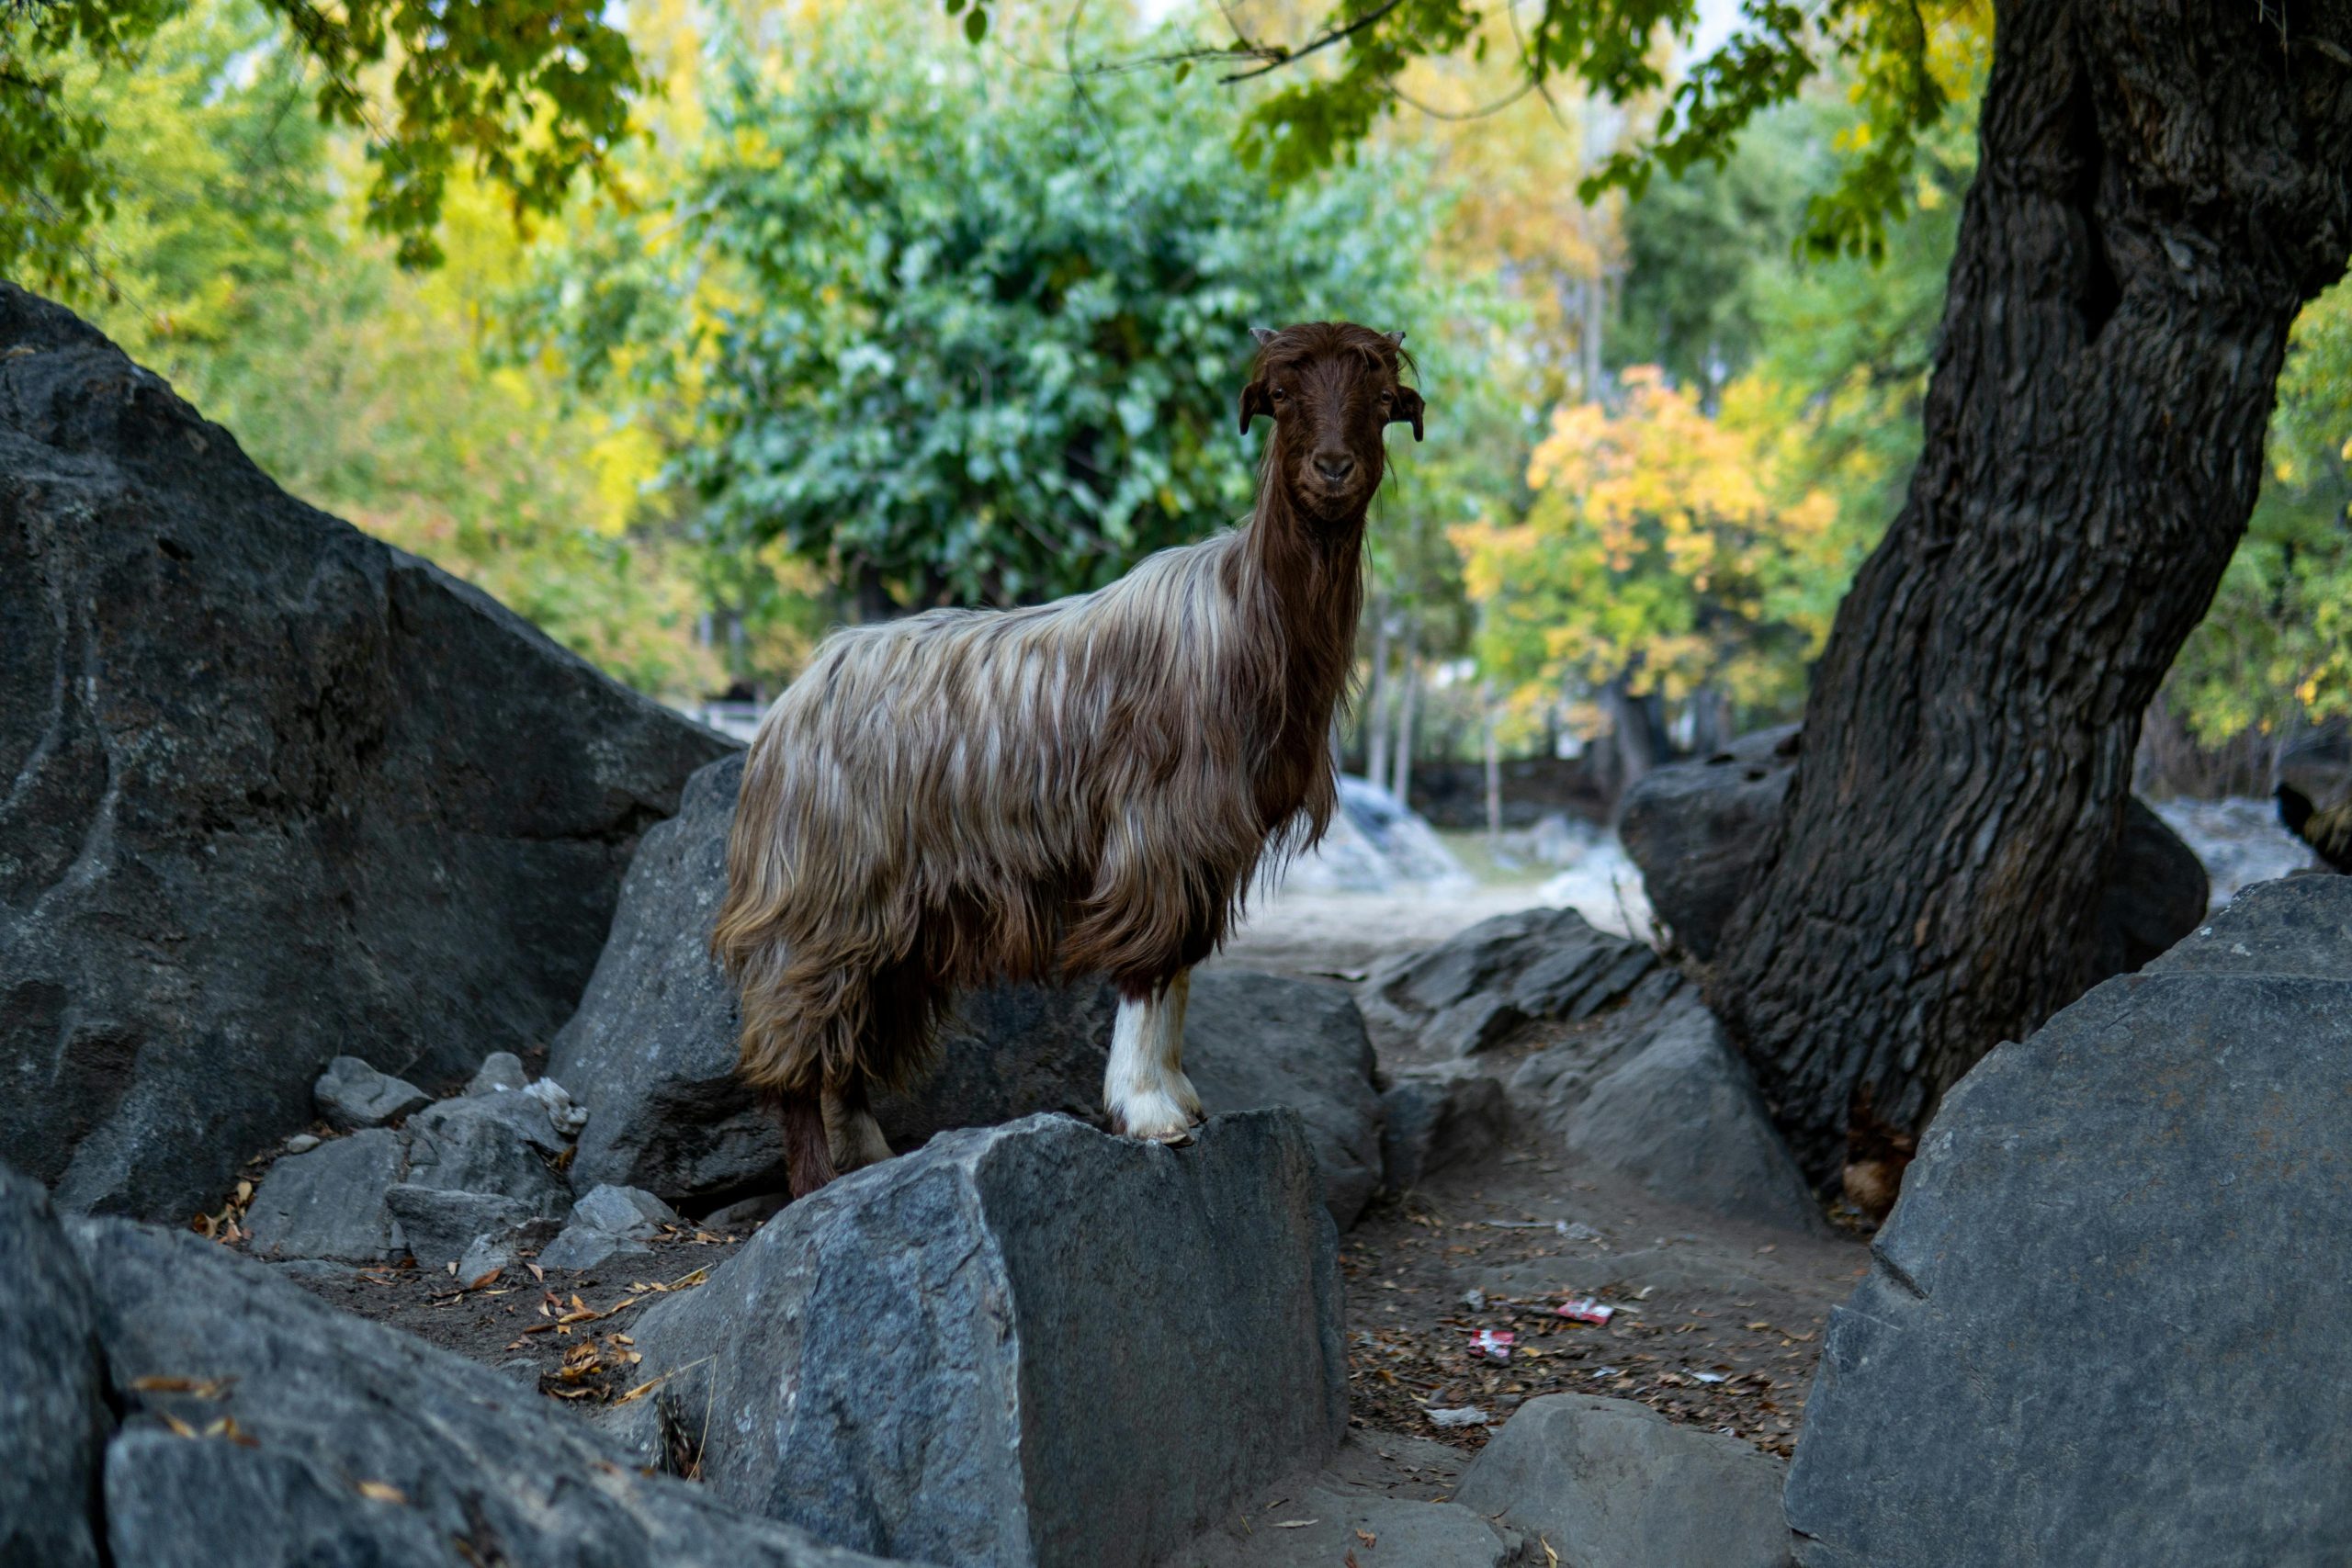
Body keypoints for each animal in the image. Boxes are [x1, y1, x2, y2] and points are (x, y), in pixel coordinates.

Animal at [712, 321, 1427, 1196]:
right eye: (1284, 396)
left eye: (1381, 400)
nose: (1332, 468)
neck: (1249, 618)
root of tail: (794, 696)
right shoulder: (1156, 825)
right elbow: (1148, 961)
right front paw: (1148, 1111)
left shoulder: (1209, 844)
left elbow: (1183, 961)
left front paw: (1181, 1094)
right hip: (820, 888)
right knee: (796, 1024)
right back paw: (817, 1179)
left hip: (891, 907)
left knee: (853, 1022)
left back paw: (868, 1155)